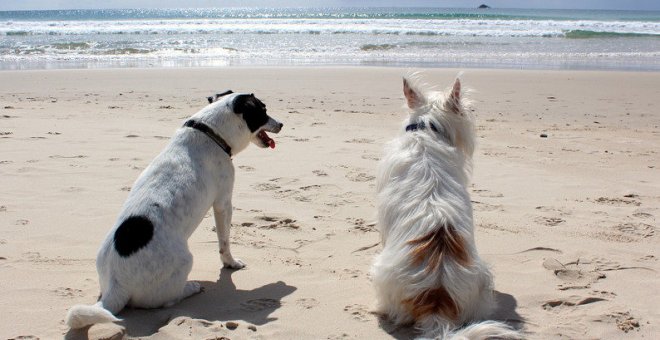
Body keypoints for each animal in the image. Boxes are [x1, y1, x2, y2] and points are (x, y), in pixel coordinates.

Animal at [65, 90, 282, 330]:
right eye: (263, 110)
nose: (281, 124)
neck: (210, 132)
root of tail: (116, 285)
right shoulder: (223, 203)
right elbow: (224, 242)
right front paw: (231, 263)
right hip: (185, 260)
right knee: (166, 300)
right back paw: (191, 287)